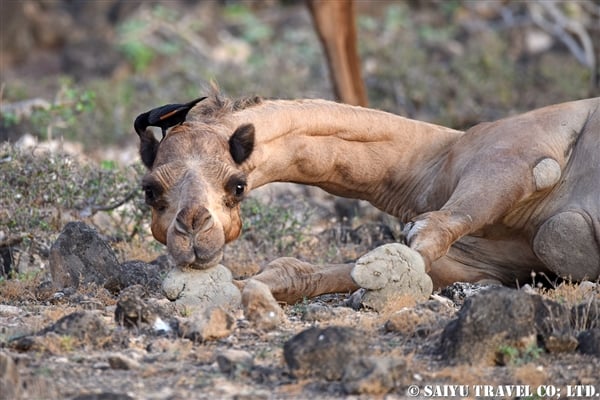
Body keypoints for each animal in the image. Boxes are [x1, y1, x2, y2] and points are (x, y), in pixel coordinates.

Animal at [136, 94, 600, 304]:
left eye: (237, 185)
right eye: (150, 189)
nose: (194, 232)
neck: (433, 161)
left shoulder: (520, 156)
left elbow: (427, 234)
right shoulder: (483, 263)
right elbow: (302, 271)